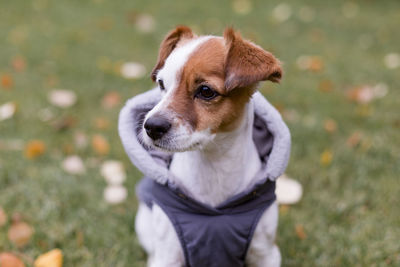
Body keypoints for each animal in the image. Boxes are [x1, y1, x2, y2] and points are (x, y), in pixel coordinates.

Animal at [118, 25, 290, 267]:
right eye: (161, 84)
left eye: (206, 91)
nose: (151, 126)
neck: (214, 167)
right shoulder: (168, 256)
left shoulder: (266, 254)